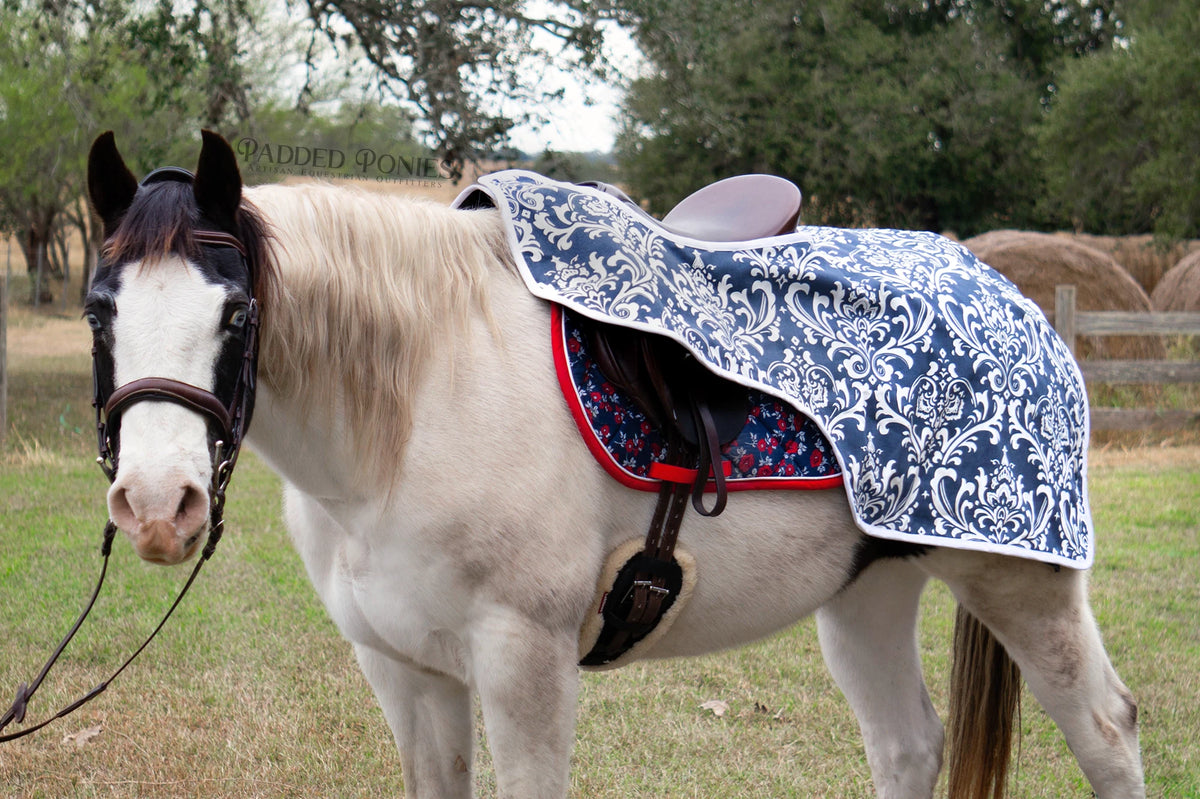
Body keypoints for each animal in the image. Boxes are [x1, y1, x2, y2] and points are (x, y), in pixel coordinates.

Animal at [79, 129, 1144, 799]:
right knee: (907, 745)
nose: (158, 506)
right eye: (100, 310)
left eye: (236, 312)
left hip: (1021, 583)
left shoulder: (525, 662)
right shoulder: (404, 671)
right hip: (869, 593)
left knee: (1108, 731)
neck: (421, 395)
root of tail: (1012, 296)